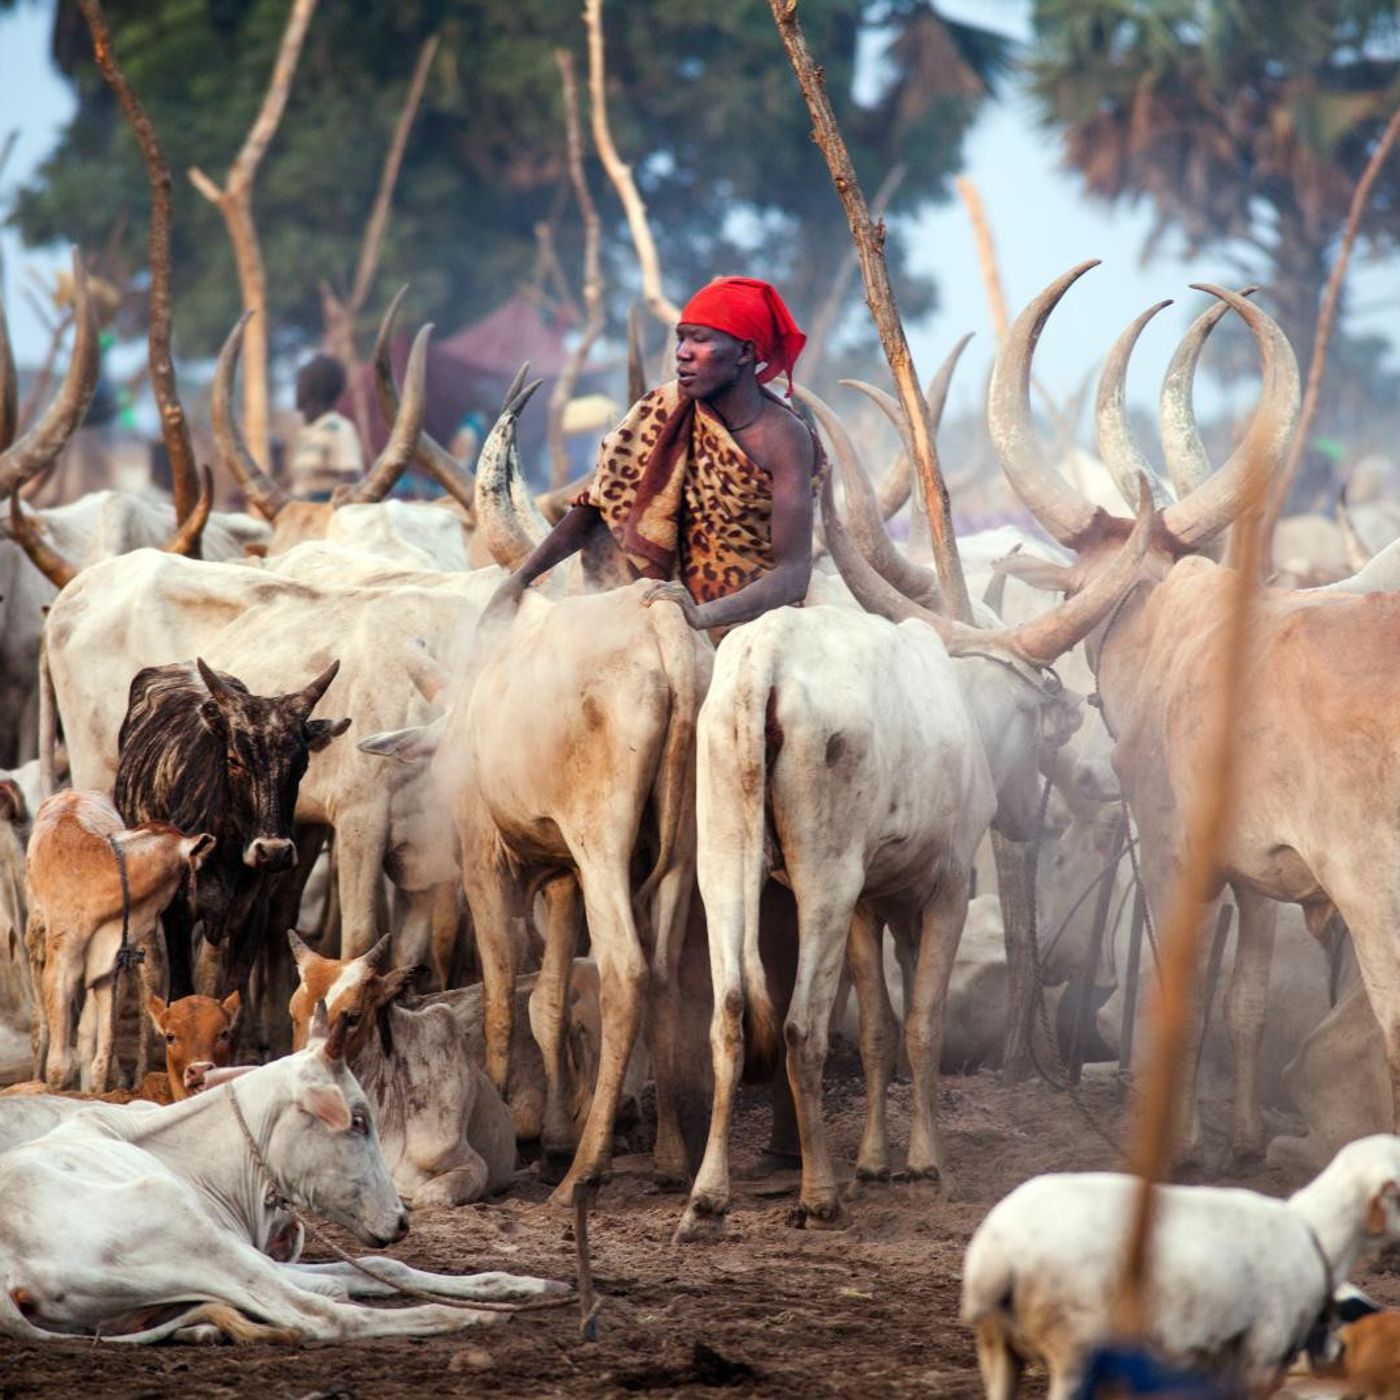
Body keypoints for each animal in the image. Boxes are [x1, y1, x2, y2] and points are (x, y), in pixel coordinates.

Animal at [0, 1014, 563, 1343]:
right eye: (358, 1121)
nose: (402, 1221)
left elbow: (384, 1267)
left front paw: (524, 1283)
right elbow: (343, 1290)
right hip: (182, 1229)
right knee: (320, 1319)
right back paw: (463, 1318)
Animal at [24, 790, 215, 1093]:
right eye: (195, 866)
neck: (97, 874)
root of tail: (70, 792)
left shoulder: (108, 964)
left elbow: (99, 1059)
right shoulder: (61, 965)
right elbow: (59, 1066)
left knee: (86, 1034)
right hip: (35, 940)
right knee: (40, 1025)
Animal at [113, 659, 350, 999]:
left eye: (301, 764)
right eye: (234, 759)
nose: (273, 852)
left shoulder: (251, 917)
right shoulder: (178, 913)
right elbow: (182, 992)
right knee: (152, 967)